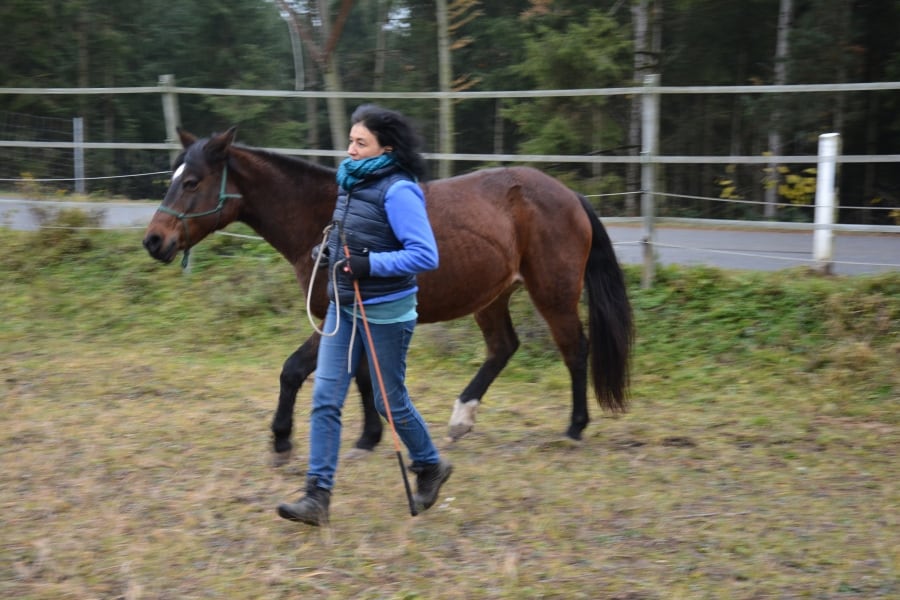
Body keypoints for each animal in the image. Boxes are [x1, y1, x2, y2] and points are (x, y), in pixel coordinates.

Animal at [142, 127, 632, 464]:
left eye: (193, 182)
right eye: (174, 177)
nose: (154, 240)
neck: (326, 218)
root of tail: (570, 194)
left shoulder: (335, 315)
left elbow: (293, 370)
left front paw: (281, 440)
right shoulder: (360, 315)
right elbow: (364, 374)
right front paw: (369, 437)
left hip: (553, 294)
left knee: (575, 350)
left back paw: (574, 428)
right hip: (491, 297)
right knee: (503, 348)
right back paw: (462, 418)